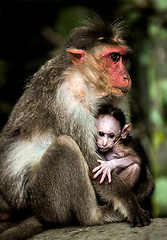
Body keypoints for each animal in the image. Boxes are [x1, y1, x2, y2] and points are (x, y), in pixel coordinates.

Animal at [0, 19, 150, 240]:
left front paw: (147, 184)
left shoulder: (117, 96)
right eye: (114, 57)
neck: (86, 81)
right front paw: (130, 204)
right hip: (44, 199)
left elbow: (123, 143)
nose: (126, 77)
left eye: (123, 57)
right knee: (65, 146)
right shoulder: (68, 98)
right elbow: (91, 161)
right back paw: (95, 216)